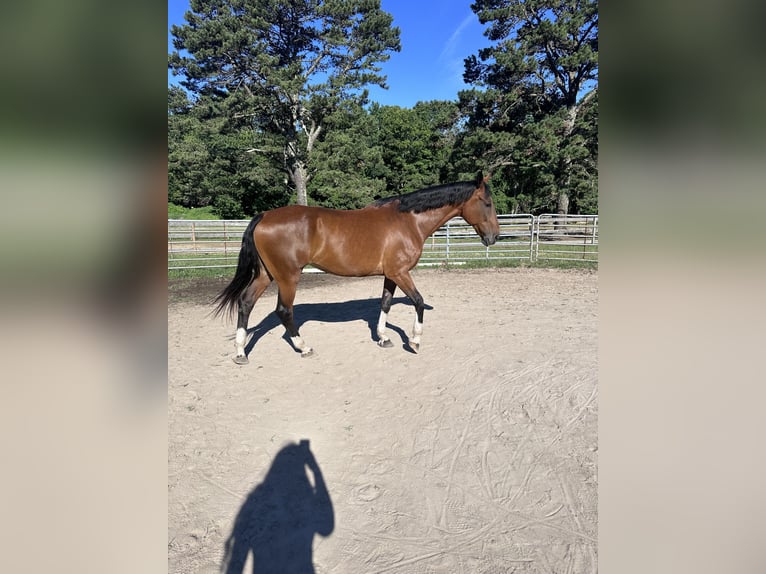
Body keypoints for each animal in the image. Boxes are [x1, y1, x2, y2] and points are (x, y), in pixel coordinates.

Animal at [213, 173, 500, 366]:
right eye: (486, 203)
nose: (495, 237)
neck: (408, 221)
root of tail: (265, 216)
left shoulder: (391, 275)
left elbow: (385, 303)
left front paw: (383, 338)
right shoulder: (401, 273)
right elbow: (418, 301)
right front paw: (415, 341)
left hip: (266, 274)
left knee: (245, 302)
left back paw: (240, 352)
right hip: (287, 277)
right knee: (284, 311)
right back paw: (304, 347)